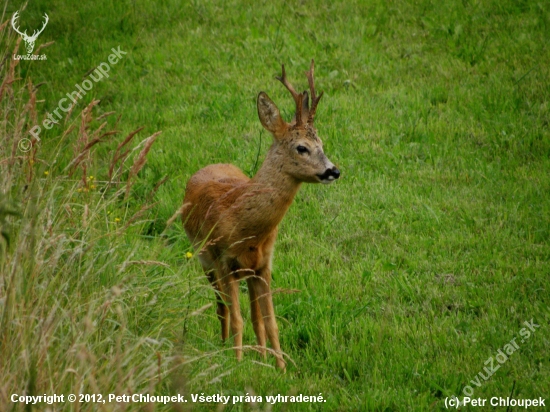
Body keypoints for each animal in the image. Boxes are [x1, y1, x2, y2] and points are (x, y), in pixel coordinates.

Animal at [183, 59, 340, 368]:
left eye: (322, 144)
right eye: (301, 147)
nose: (333, 171)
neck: (245, 227)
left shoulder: (265, 263)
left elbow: (270, 322)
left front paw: (280, 367)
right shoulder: (223, 261)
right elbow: (237, 319)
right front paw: (237, 364)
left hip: (247, 272)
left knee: (253, 315)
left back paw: (261, 354)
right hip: (205, 261)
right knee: (222, 308)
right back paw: (224, 345)